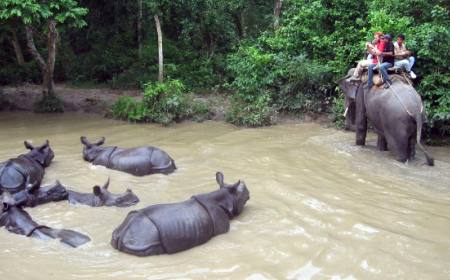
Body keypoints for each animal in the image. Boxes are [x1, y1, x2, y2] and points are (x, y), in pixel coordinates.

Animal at [109, 171, 250, 256]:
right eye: (243, 193)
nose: (247, 187)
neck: (226, 197)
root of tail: (123, 233)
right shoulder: (222, 225)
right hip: (144, 240)